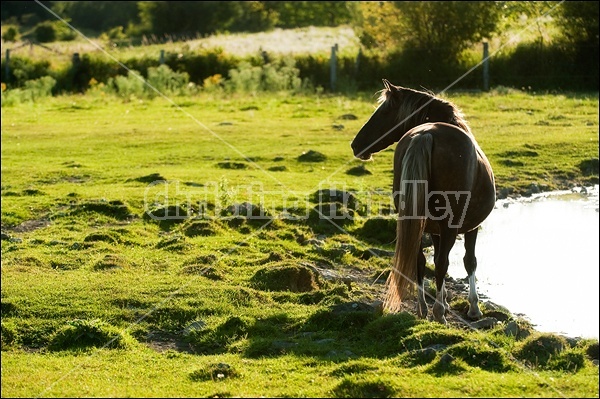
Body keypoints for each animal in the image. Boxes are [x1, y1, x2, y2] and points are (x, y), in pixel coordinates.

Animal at [350, 79, 494, 324]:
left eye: (384, 111)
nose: (356, 145)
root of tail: (425, 134)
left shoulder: (434, 229)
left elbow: (434, 260)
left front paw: (445, 300)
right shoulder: (470, 227)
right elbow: (469, 261)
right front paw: (473, 308)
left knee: (420, 261)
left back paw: (423, 308)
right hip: (450, 226)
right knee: (442, 263)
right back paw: (438, 313)